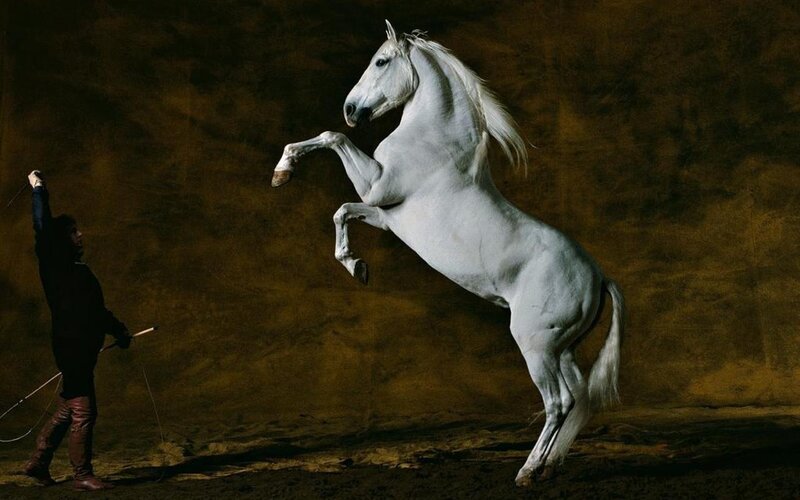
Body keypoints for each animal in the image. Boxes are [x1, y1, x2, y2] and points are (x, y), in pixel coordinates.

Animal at [271, 21, 625, 486]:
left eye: (381, 61)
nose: (350, 109)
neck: (434, 142)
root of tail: (599, 278)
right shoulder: (385, 215)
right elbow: (342, 211)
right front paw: (356, 266)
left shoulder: (376, 187)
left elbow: (334, 139)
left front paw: (284, 169)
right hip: (561, 349)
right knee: (576, 399)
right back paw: (547, 468)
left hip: (535, 345)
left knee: (558, 403)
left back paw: (528, 471)